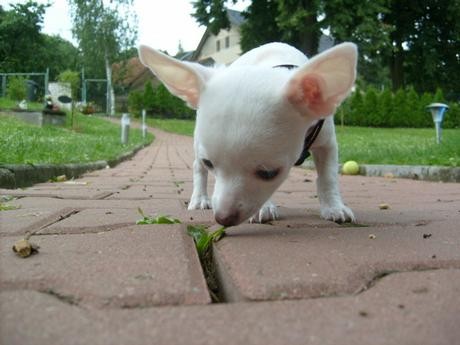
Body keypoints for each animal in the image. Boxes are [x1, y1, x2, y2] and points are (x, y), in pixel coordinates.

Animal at [138, 41, 358, 226]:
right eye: (210, 163)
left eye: (269, 173)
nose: (223, 218)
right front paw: (265, 208)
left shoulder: (326, 143)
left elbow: (328, 177)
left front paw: (334, 207)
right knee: (196, 168)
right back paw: (200, 198)